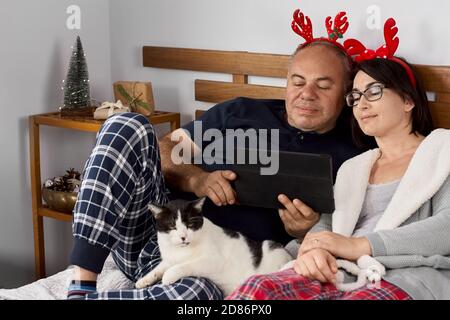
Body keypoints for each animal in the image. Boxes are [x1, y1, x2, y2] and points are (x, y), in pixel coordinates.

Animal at [135, 196, 294, 296]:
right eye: (172, 226)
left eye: (190, 225)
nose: (183, 237)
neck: (181, 251)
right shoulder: (169, 259)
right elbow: (158, 268)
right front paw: (144, 280)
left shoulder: (213, 260)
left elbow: (184, 265)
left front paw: (168, 275)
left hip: (271, 248)